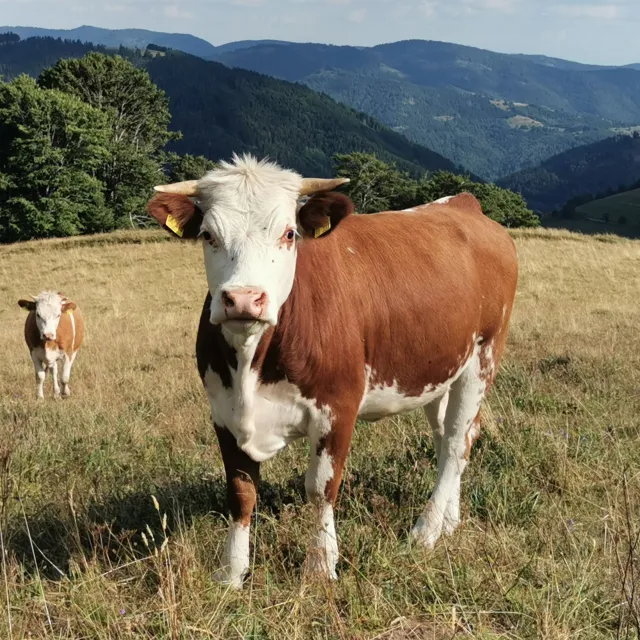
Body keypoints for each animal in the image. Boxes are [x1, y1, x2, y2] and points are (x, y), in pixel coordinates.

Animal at [148, 155, 516, 592]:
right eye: (208, 235)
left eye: (289, 233)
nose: (243, 299)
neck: (251, 364)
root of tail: (463, 205)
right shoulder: (222, 411)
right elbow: (240, 492)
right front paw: (231, 574)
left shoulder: (338, 407)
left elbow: (321, 487)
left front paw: (321, 566)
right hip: (441, 368)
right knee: (450, 440)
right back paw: (449, 521)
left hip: (483, 356)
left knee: (459, 440)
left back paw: (425, 530)